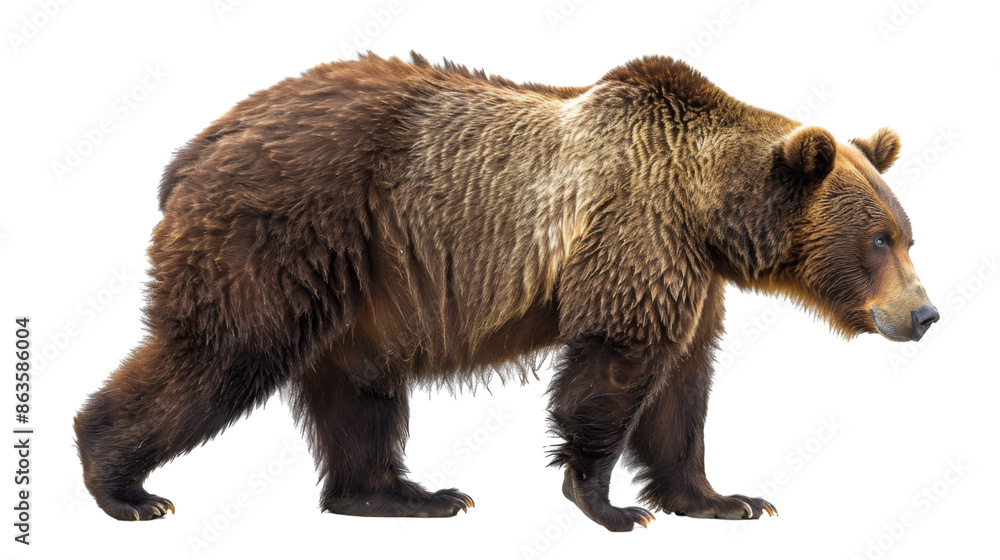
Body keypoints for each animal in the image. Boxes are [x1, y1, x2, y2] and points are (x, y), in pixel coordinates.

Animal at [74, 52, 938, 531]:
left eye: (907, 234)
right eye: (877, 240)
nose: (925, 313)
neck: (706, 210)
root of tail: (192, 150)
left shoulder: (692, 278)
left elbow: (682, 391)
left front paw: (726, 499)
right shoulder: (634, 234)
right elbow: (615, 368)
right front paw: (608, 503)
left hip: (358, 283)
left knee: (358, 388)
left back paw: (407, 495)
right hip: (285, 228)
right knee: (221, 352)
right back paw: (124, 485)